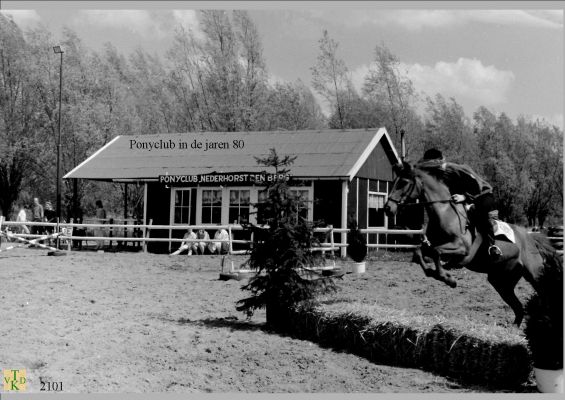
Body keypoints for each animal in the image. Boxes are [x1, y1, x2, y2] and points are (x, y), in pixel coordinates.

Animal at [384, 159, 560, 324]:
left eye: (403, 182)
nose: (387, 208)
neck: (445, 212)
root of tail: (531, 238)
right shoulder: (431, 246)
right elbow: (419, 252)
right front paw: (439, 275)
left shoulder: (462, 249)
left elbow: (435, 252)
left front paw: (449, 279)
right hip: (501, 281)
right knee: (519, 309)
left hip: (534, 275)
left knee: (543, 296)